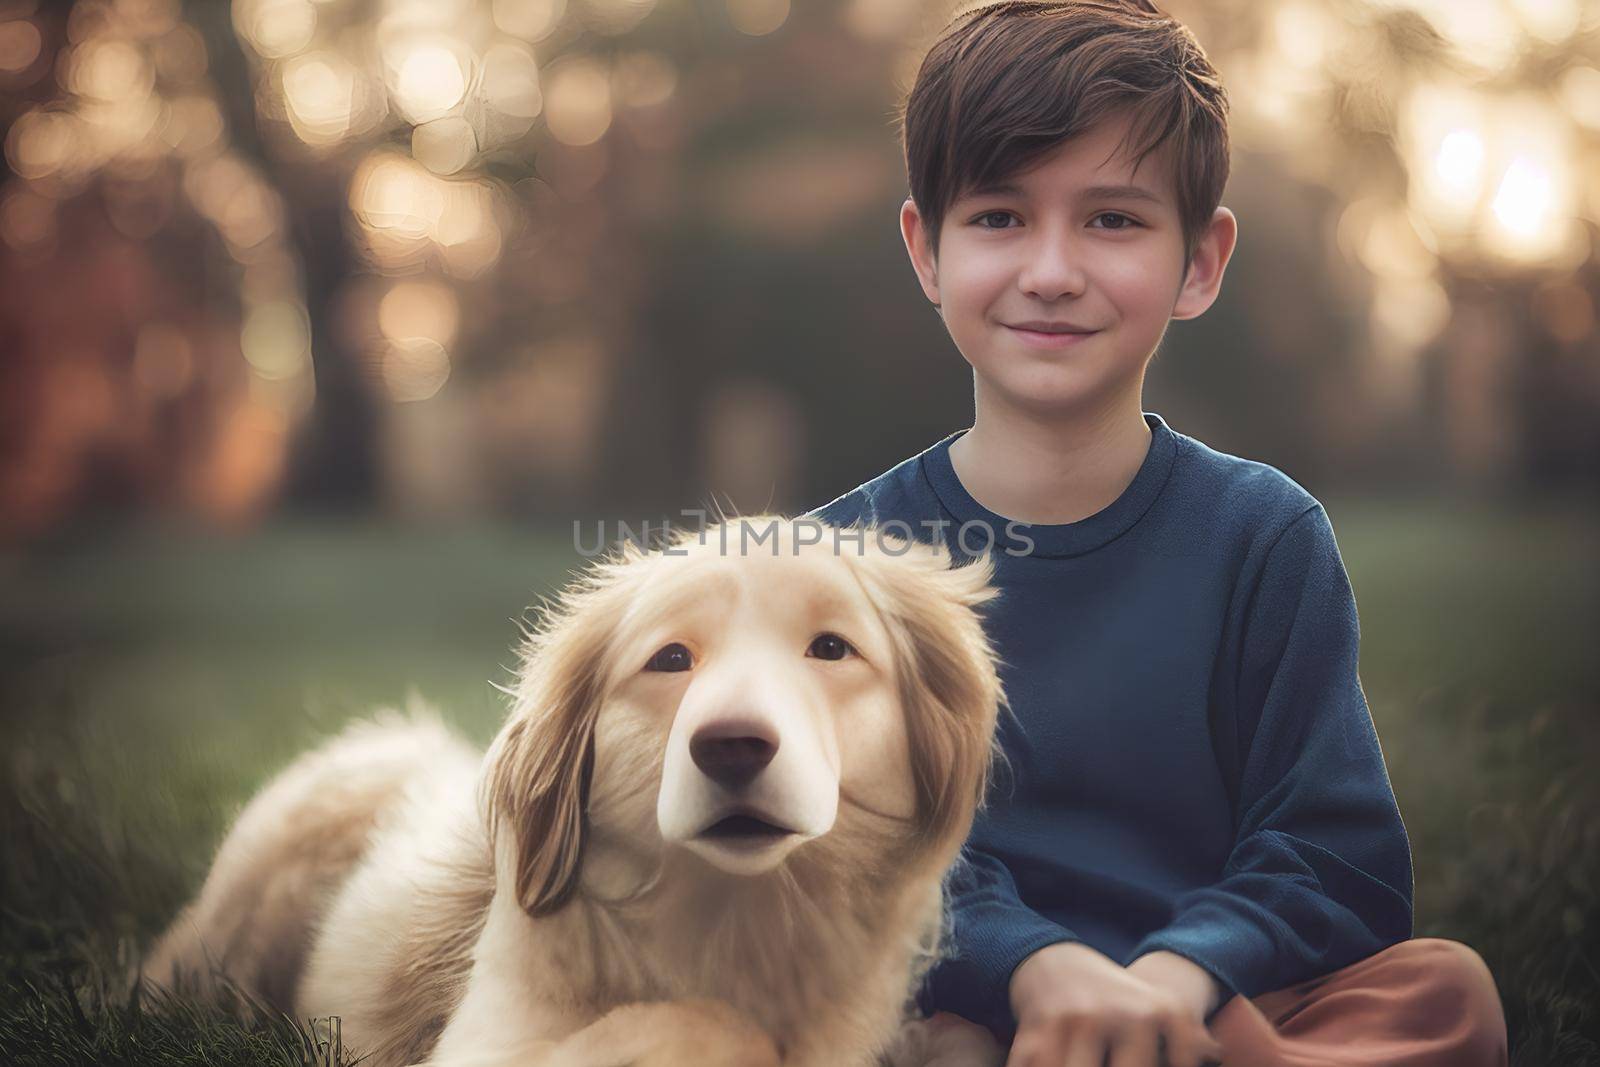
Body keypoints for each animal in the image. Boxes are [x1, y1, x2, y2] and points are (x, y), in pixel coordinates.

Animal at [144, 511, 1004, 1062]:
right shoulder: (486, 1043)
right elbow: (703, 1022)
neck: (735, 920)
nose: (732, 746)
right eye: (670, 659)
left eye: (830, 648)